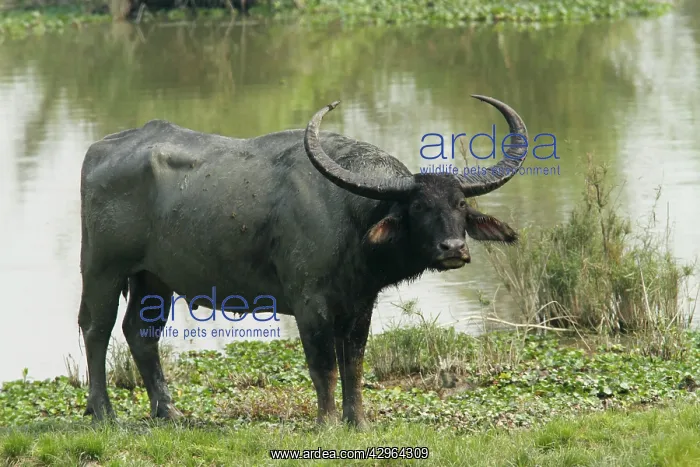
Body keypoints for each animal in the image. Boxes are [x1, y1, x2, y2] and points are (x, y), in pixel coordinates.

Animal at [78, 95, 527, 429]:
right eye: (418, 207)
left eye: (460, 205)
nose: (454, 248)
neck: (350, 215)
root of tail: (99, 151)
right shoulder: (311, 304)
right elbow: (322, 364)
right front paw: (327, 422)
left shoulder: (359, 304)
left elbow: (353, 363)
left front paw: (357, 421)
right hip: (101, 270)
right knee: (97, 329)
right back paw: (104, 413)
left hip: (152, 278)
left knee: (141, 334)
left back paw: (168, 411)